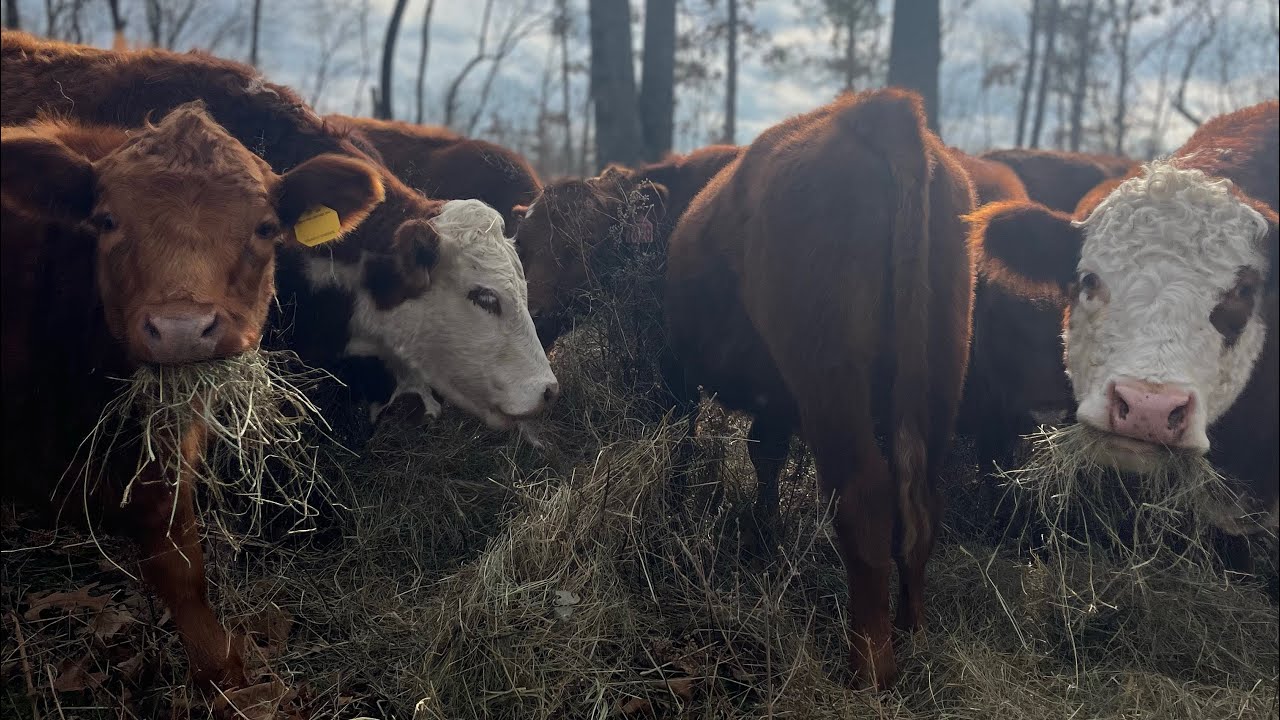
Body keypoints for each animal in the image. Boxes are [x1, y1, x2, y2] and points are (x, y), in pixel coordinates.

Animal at [664, 89, 975, 688]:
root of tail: (878, 110)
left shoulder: (682, 375)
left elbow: (681, 450)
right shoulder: (775, 403)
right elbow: (764, 455)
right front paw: (764, 536)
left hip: (831, 379)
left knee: (863, 495)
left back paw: (870, 665)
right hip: (939, 369)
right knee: (923, 502)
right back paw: (913, 630)